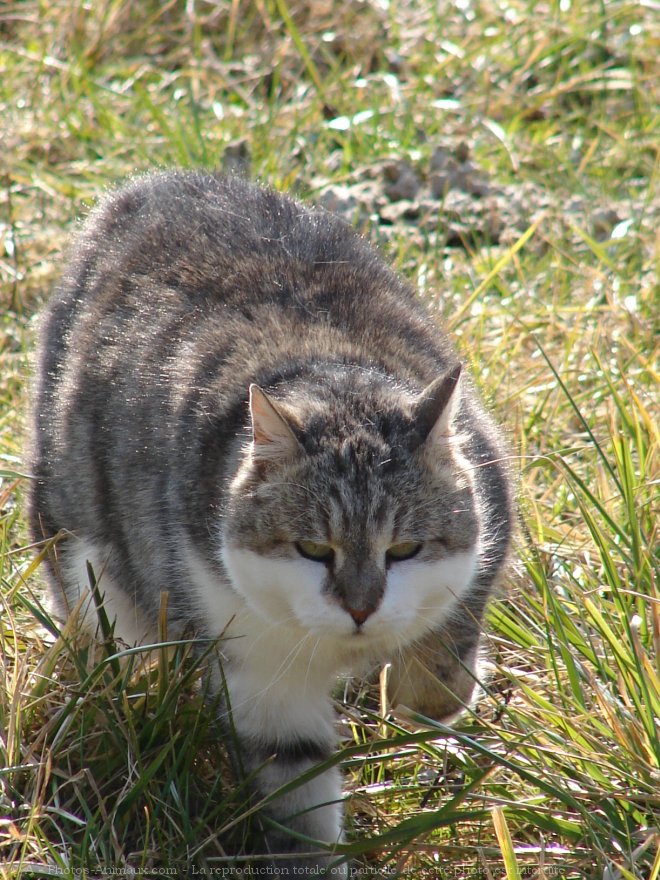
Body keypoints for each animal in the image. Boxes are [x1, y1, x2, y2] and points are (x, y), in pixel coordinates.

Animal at [29, 168, 516, 876]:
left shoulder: (487, 510)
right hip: (84, 561)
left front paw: (428, 694)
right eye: (312, 548)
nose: (361, 609)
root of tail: (157, 183)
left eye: (404, 549)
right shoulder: (257, 667)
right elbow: (298, 793)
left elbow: (445, 661)